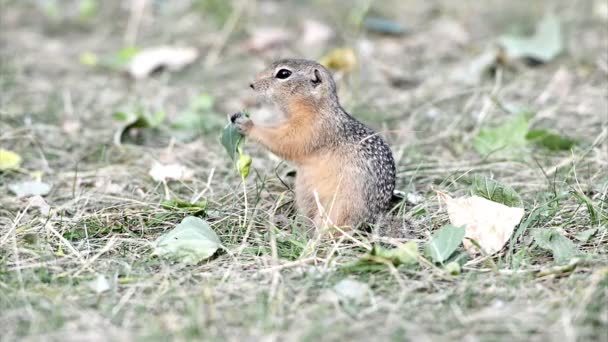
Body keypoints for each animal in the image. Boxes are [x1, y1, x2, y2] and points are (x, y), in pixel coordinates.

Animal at [230, 58, 396, 230]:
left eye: (283, 73)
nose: (252, 84)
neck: (316, 108)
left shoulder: (309, 130)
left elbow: (284, 142)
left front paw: (247, 124)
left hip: (339, 208)